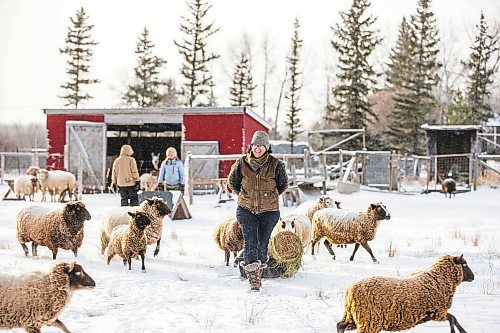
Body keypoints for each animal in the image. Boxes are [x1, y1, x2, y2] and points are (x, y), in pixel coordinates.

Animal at [338, 254, 474, 332]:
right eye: (464, 264)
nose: (473, 276)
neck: (439, 279)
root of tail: (349, 290)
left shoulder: (434, 313)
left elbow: (453, 319)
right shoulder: (437, 312)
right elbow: (453, 318)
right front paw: (462, 331)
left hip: (353, 316)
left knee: (340, 326)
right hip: (368, 319)